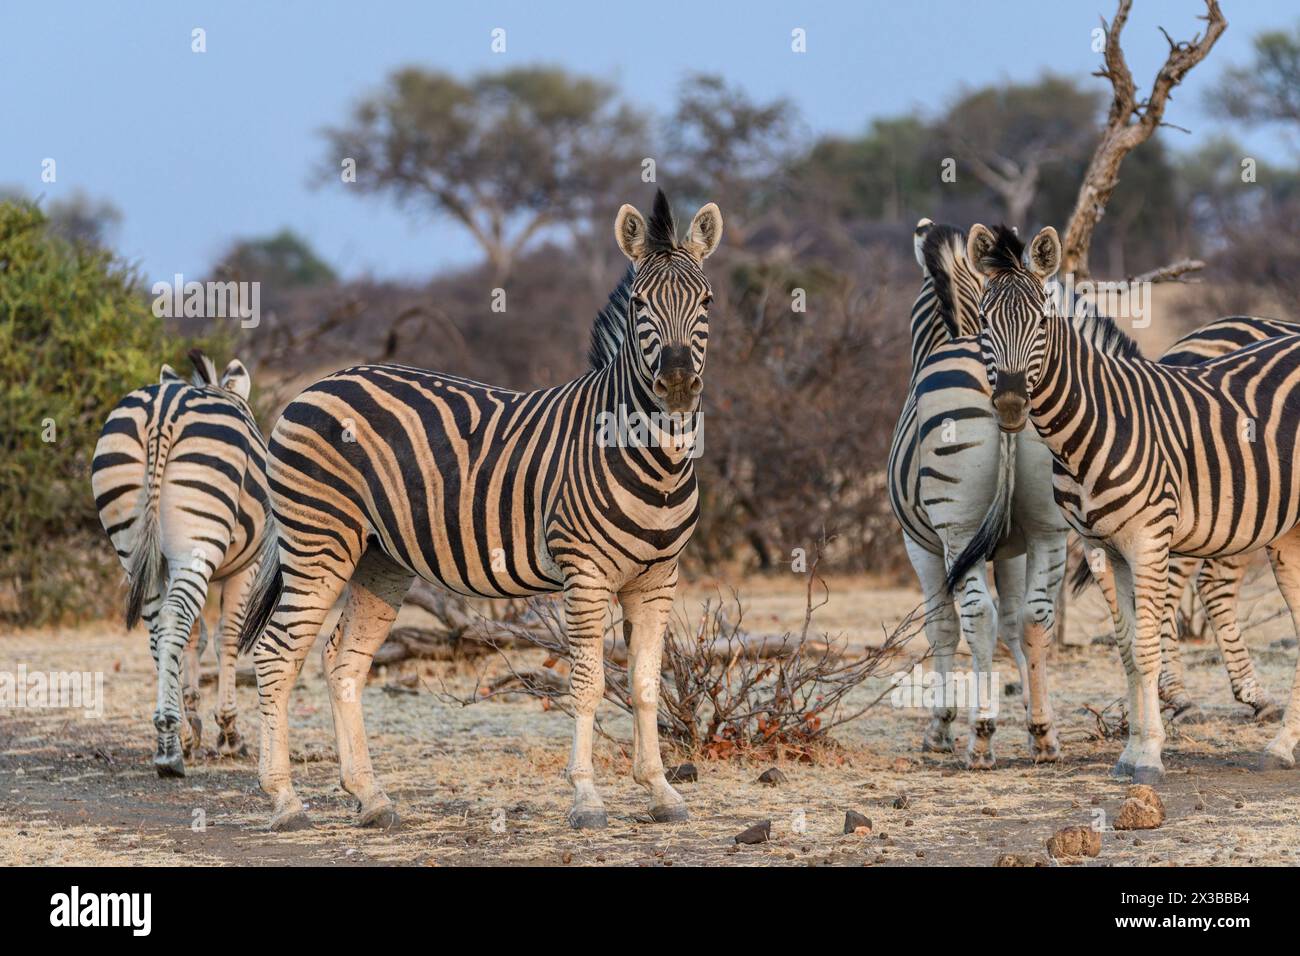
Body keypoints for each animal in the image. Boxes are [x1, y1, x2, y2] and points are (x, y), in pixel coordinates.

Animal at [91, 350, 268, 776]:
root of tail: (162, 409)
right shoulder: (245, 567)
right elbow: (227, 636)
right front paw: (229, 732)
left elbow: (194, 637)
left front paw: (194, 718)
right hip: (196, 544)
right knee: (173, 618)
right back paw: (171, 743)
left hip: (132, 541)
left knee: (159, 624)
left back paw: (174, 737)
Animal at [235, 191, 722, 831]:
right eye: (641, 303)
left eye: (707, 301)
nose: (678, 383)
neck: (654, 458)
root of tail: (315, 386)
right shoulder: (585, 573)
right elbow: (588, 684)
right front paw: (587, 799)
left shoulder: (658, 579)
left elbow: (644, 683)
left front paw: (661, 792)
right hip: (320, 542)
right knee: (275, 656)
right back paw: (285, 800)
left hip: (379, 560)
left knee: (343, 662)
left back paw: (371, 797)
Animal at [960, 222, 1300, 782]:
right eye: (984, 322)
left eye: (1042, 321)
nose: (1009, 405)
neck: (1098, 421)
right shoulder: (1106, 547)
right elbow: (1127, 650)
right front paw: (1133, 751)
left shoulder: (1149, 538)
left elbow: (1145, 645)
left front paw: (1149, 755)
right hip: (1285, 529)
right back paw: (1281, 744)